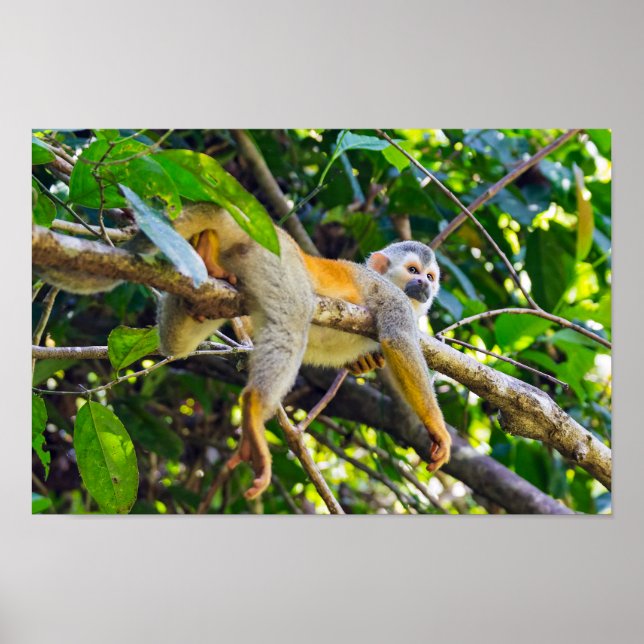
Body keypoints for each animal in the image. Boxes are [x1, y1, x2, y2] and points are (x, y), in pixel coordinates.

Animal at [35, 203, 450, 501]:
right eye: (413, 270)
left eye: (430, 277)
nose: (424, 286)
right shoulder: (389, 294)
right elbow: (397, 338)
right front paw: (437, 429)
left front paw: (366, 361)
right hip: (279, 261)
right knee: (293, 316)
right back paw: (252, 407)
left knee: (177, 343)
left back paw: (205, 257)